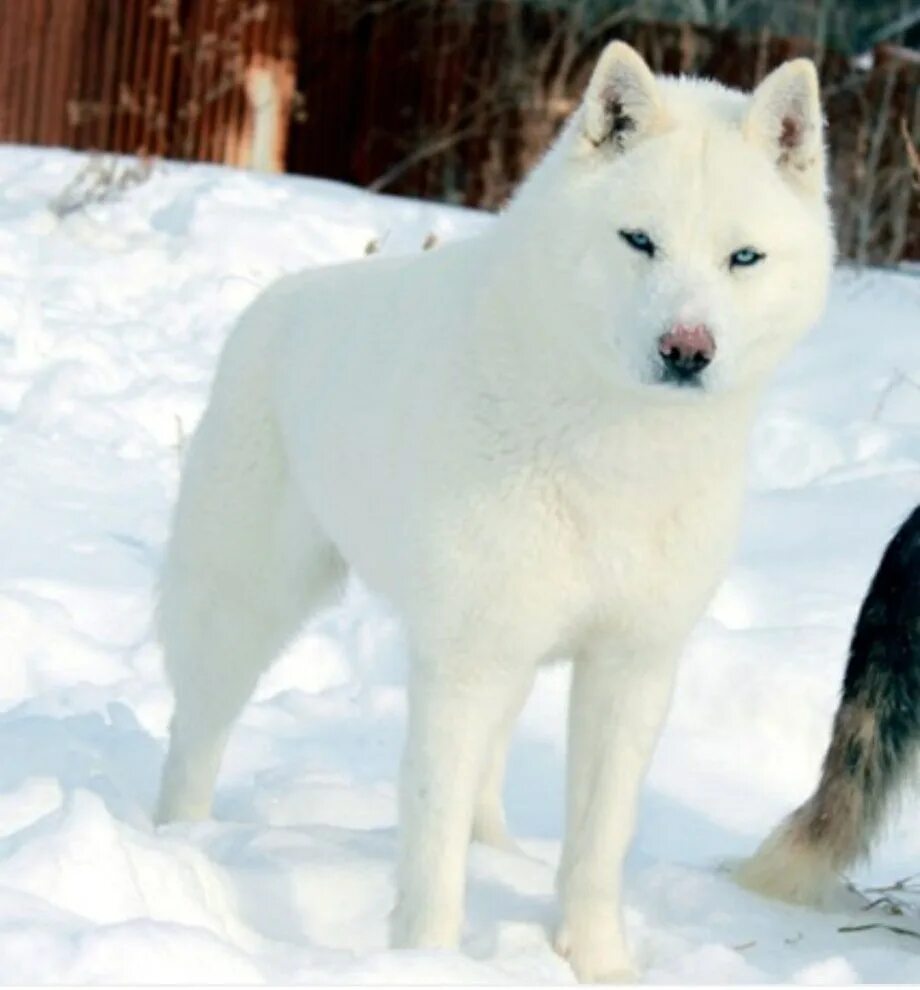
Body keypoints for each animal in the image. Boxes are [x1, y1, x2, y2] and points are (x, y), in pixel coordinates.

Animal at [156, 40, 832, 984]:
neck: (619, 451)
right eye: (640, 241)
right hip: (248, 613)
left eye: (743, 258)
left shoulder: (632, 666)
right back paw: (177, 848)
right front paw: (429, 960)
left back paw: (500, 852)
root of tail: (270, 302)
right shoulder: (462, 664)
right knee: (195, 734)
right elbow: (431, 849)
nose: (686, 350)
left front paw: (598, 963)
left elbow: (598, 842)